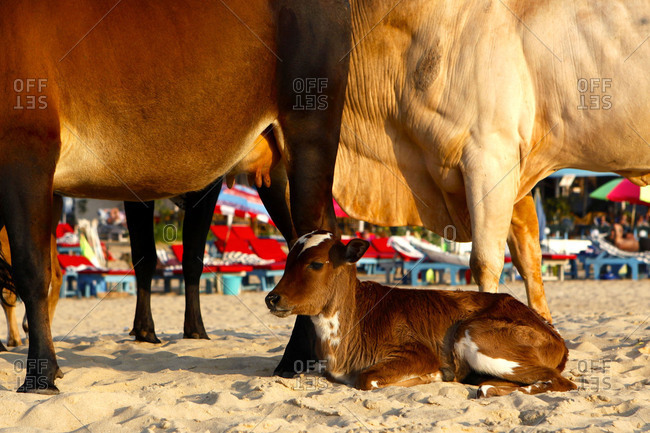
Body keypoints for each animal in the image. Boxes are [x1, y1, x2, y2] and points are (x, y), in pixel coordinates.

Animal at [0, 0, 351, 393]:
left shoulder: (25, 150)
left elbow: (32, 270)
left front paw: (40, 373)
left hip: (309, 137)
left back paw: (295, 358)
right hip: (275, 173)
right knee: (299, 244)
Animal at [266, 231, 577, 397]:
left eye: (316, 264)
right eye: (287, 261)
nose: (271, 298)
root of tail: (554, 335)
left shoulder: (416, 352)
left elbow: (366, 379)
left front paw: (428, 378)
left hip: (476, 334)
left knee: (562, 381)